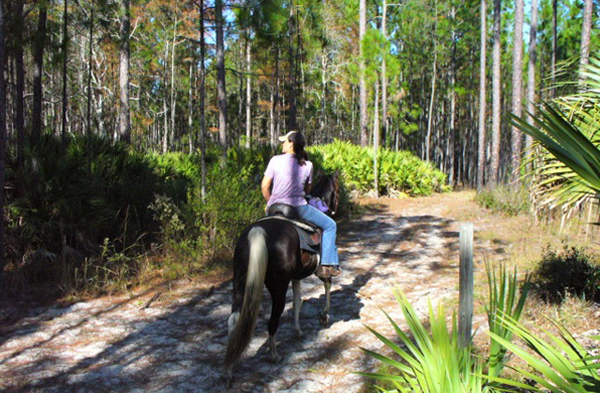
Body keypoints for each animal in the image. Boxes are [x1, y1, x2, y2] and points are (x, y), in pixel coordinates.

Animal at [225, 168, 340, 380]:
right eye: (337, 189)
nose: (335, 208)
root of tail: (257, 231)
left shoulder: (295, 276)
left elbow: (298, 301)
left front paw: (298, 330)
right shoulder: (319, 269)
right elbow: (327, 284)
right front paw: (324, 315)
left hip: (240, 281)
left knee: (234, 319)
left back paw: (228, 369)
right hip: (278, 285)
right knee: (273, 319)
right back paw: (274, 355)